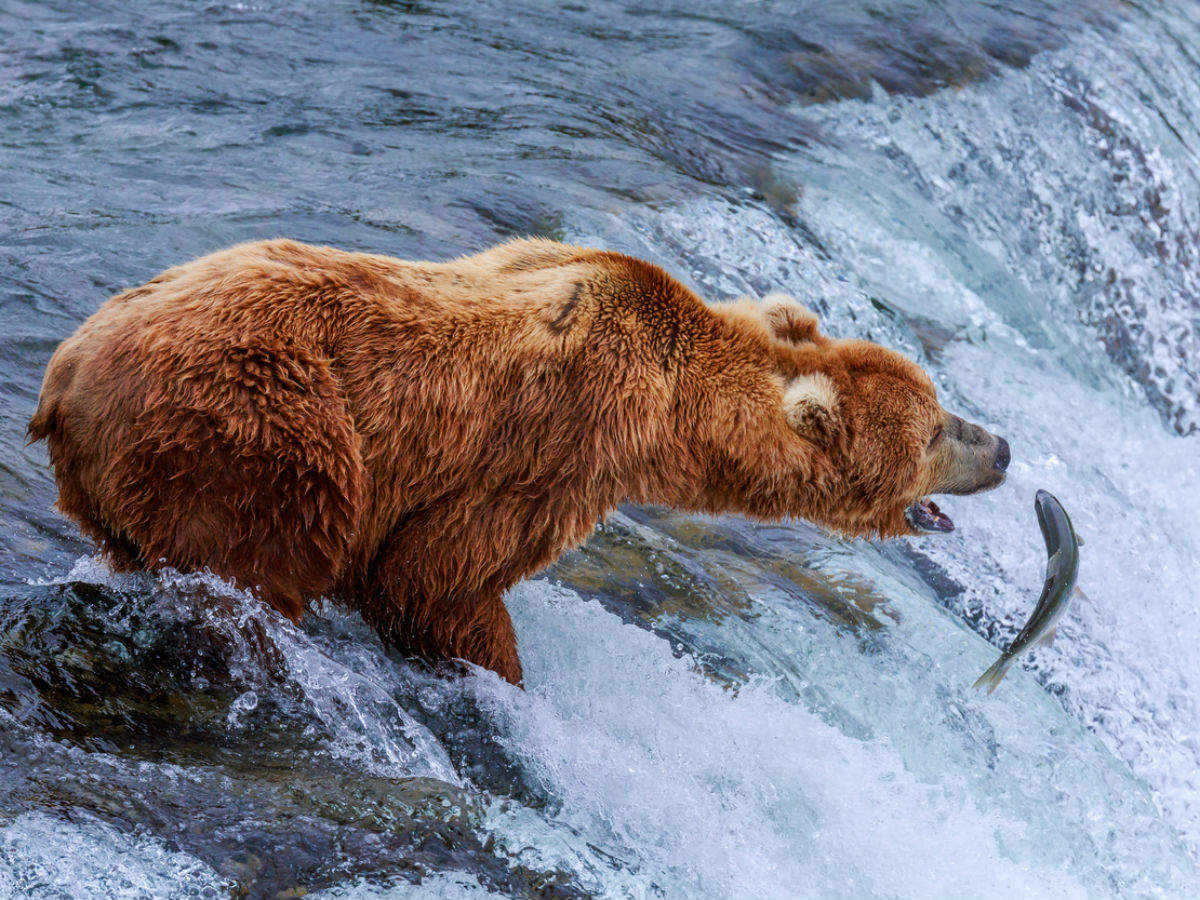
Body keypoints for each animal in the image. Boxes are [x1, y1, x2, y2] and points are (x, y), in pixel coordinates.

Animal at [28, 237, 1008, 681]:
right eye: (934, 432)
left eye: (941, 405)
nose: (1001, 445)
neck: (670, 410)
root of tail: (64, 374)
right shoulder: (561, 439)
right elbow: (438, 577)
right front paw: (497, 665)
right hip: (259, 434)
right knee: (261, 559)